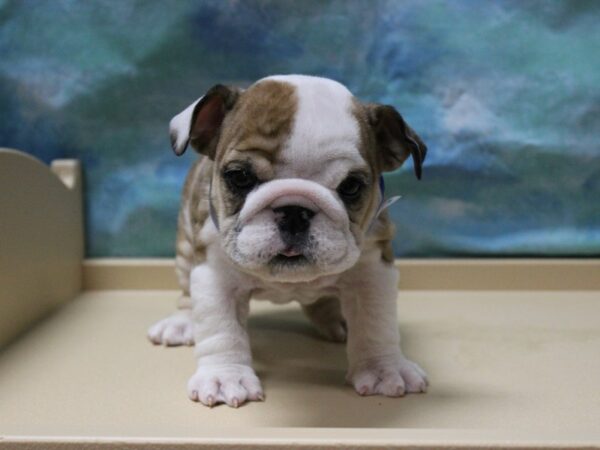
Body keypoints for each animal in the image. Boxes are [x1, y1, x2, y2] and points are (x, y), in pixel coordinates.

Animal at [151, 74, 432, 408]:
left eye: (351, 186)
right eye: (240, 177)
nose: (294, 211)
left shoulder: (373, 271)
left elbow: (375, 323)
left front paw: (384, 369)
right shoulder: (213, 274)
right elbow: (221, 327)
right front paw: (225, 377)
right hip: (185, 248)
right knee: (185, 291)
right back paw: (183, 322)